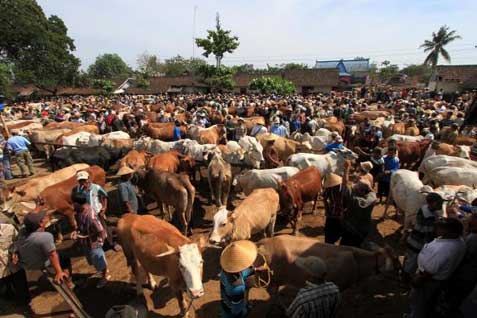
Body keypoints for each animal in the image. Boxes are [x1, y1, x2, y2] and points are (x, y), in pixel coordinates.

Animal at [255, 235, 400, 292]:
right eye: (395, 261)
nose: (401, 272)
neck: (357, 260)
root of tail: (264, 242)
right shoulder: (339, 285)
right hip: (270, 280)